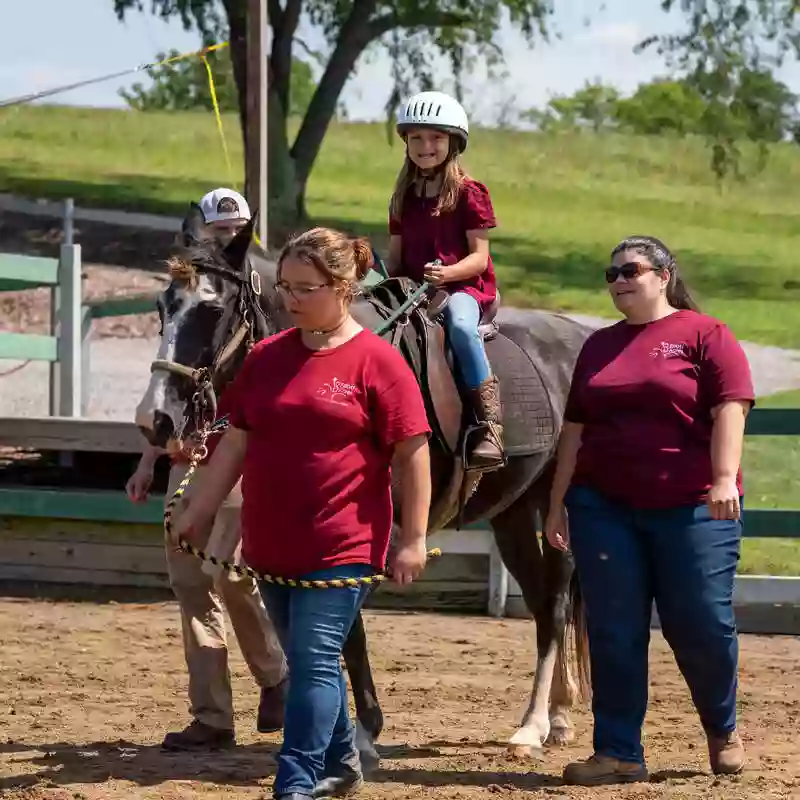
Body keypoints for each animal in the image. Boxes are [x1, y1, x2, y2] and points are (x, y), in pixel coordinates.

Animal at [133, 209, 592, 764]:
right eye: (163, 306)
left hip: (555, 510)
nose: (154, 418)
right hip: (514, 513)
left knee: (557, 603)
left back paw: (536, 724)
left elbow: (345, 629)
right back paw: (555, 717)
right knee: (548, 604)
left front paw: (365, 732)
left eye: (212, 307)